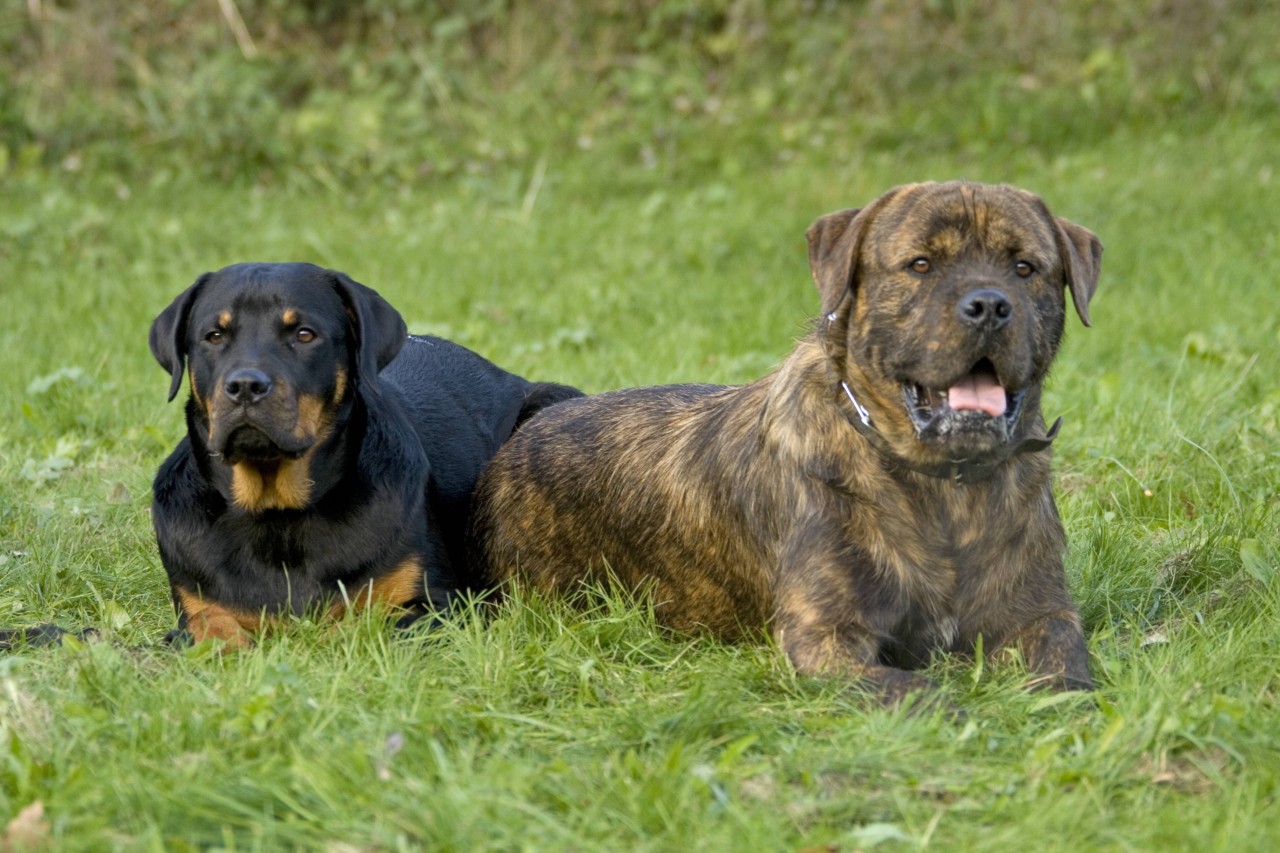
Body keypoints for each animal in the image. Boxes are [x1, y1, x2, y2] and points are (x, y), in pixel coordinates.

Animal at [146, 258, 581, 645]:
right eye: (214, 336)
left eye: (304, 334)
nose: (245, 386)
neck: (278, 518)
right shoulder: (197, 600)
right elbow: (209, 625)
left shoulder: (440, 605)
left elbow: (361, 626)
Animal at [476, 180, 1105, 701]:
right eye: (921, 264)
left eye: (1024, 267)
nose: (989, 305)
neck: (944, 487)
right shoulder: (824, 635)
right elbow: (910, 687)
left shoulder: (1041, 614)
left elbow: (1066, 671)